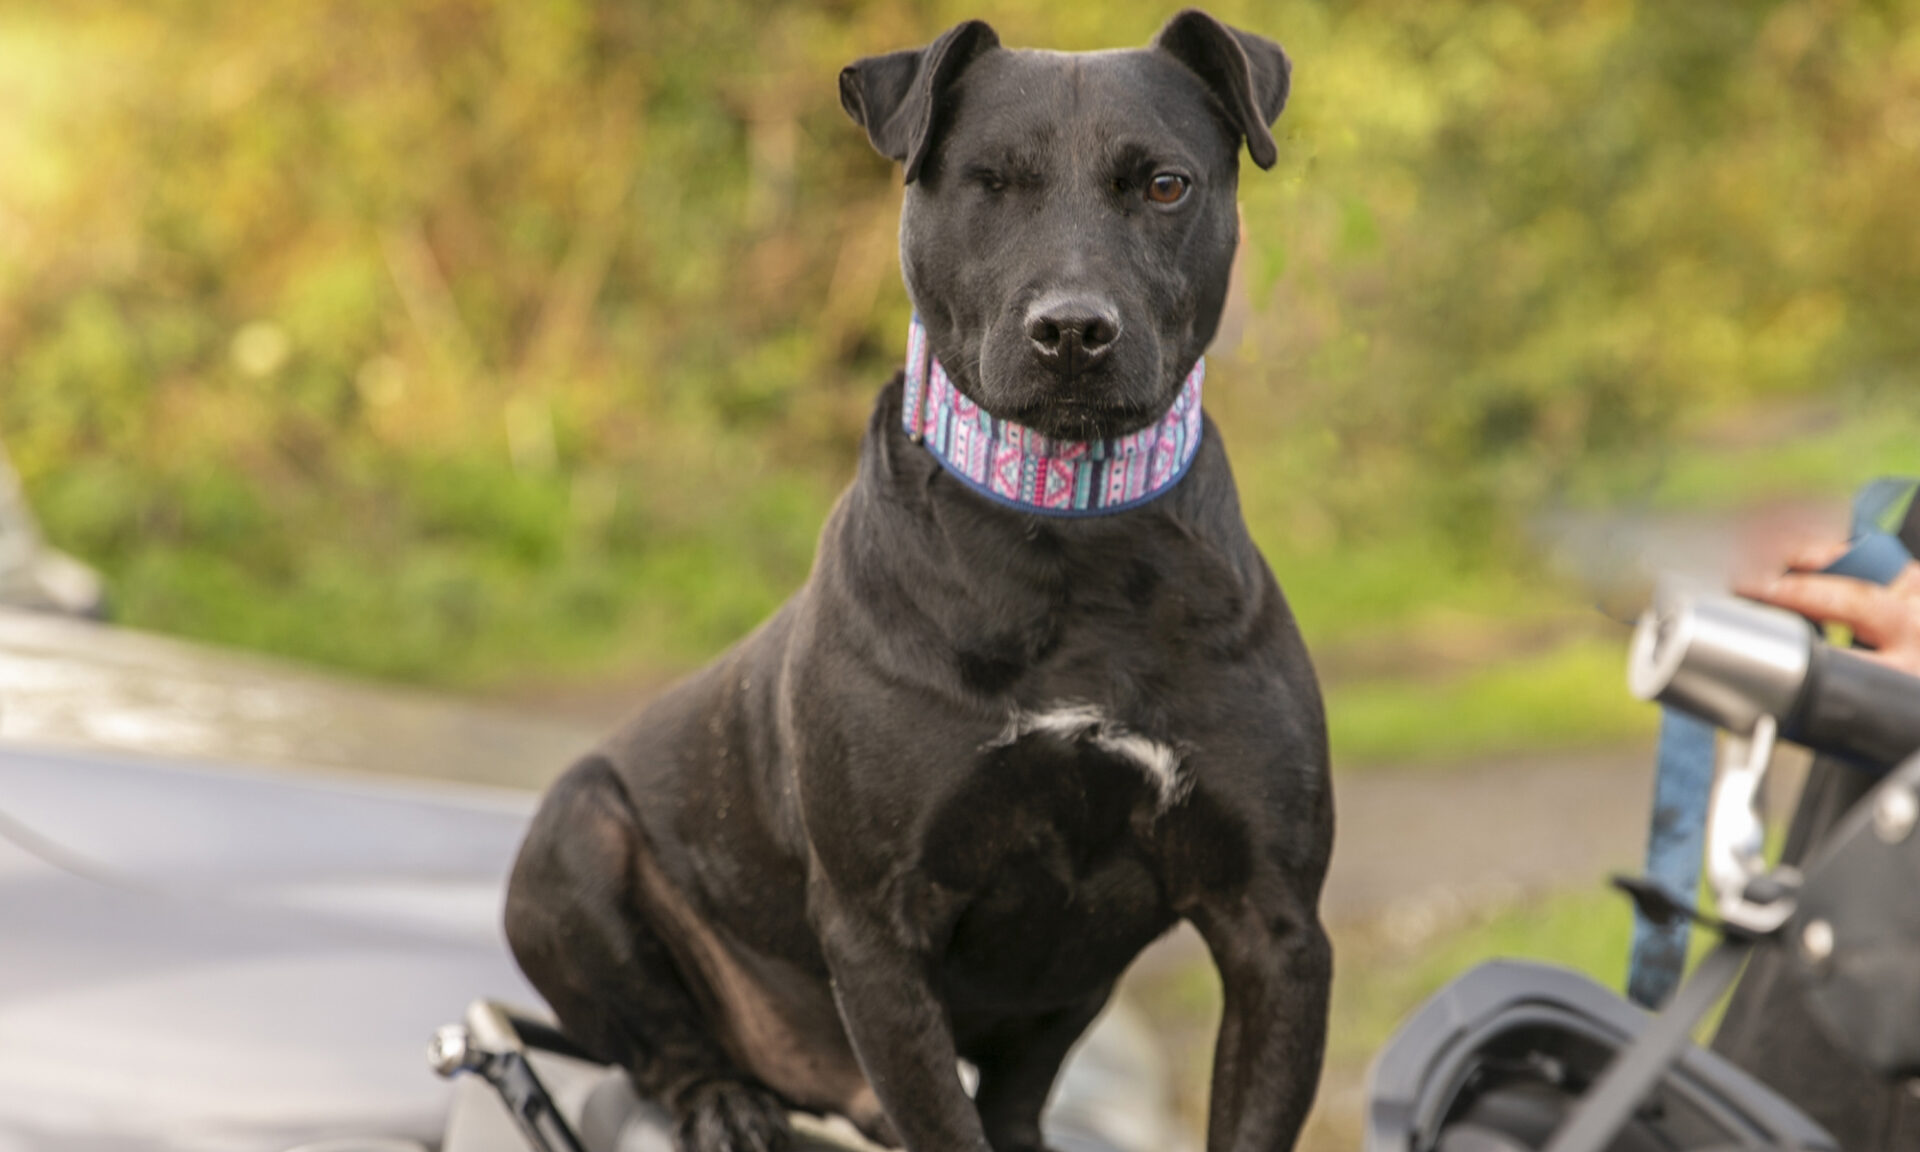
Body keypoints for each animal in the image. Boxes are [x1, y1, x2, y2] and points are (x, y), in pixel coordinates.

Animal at [510, 11, 1336, 1152]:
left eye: (1165, 185)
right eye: (988, 181)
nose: (1072, 329)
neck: (1067, 529)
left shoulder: (1276, 925)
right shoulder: (880, 933)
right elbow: (943, 1120)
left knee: (1020, 1097)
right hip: (572, 840)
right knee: (661, 1040)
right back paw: (725, 1102)